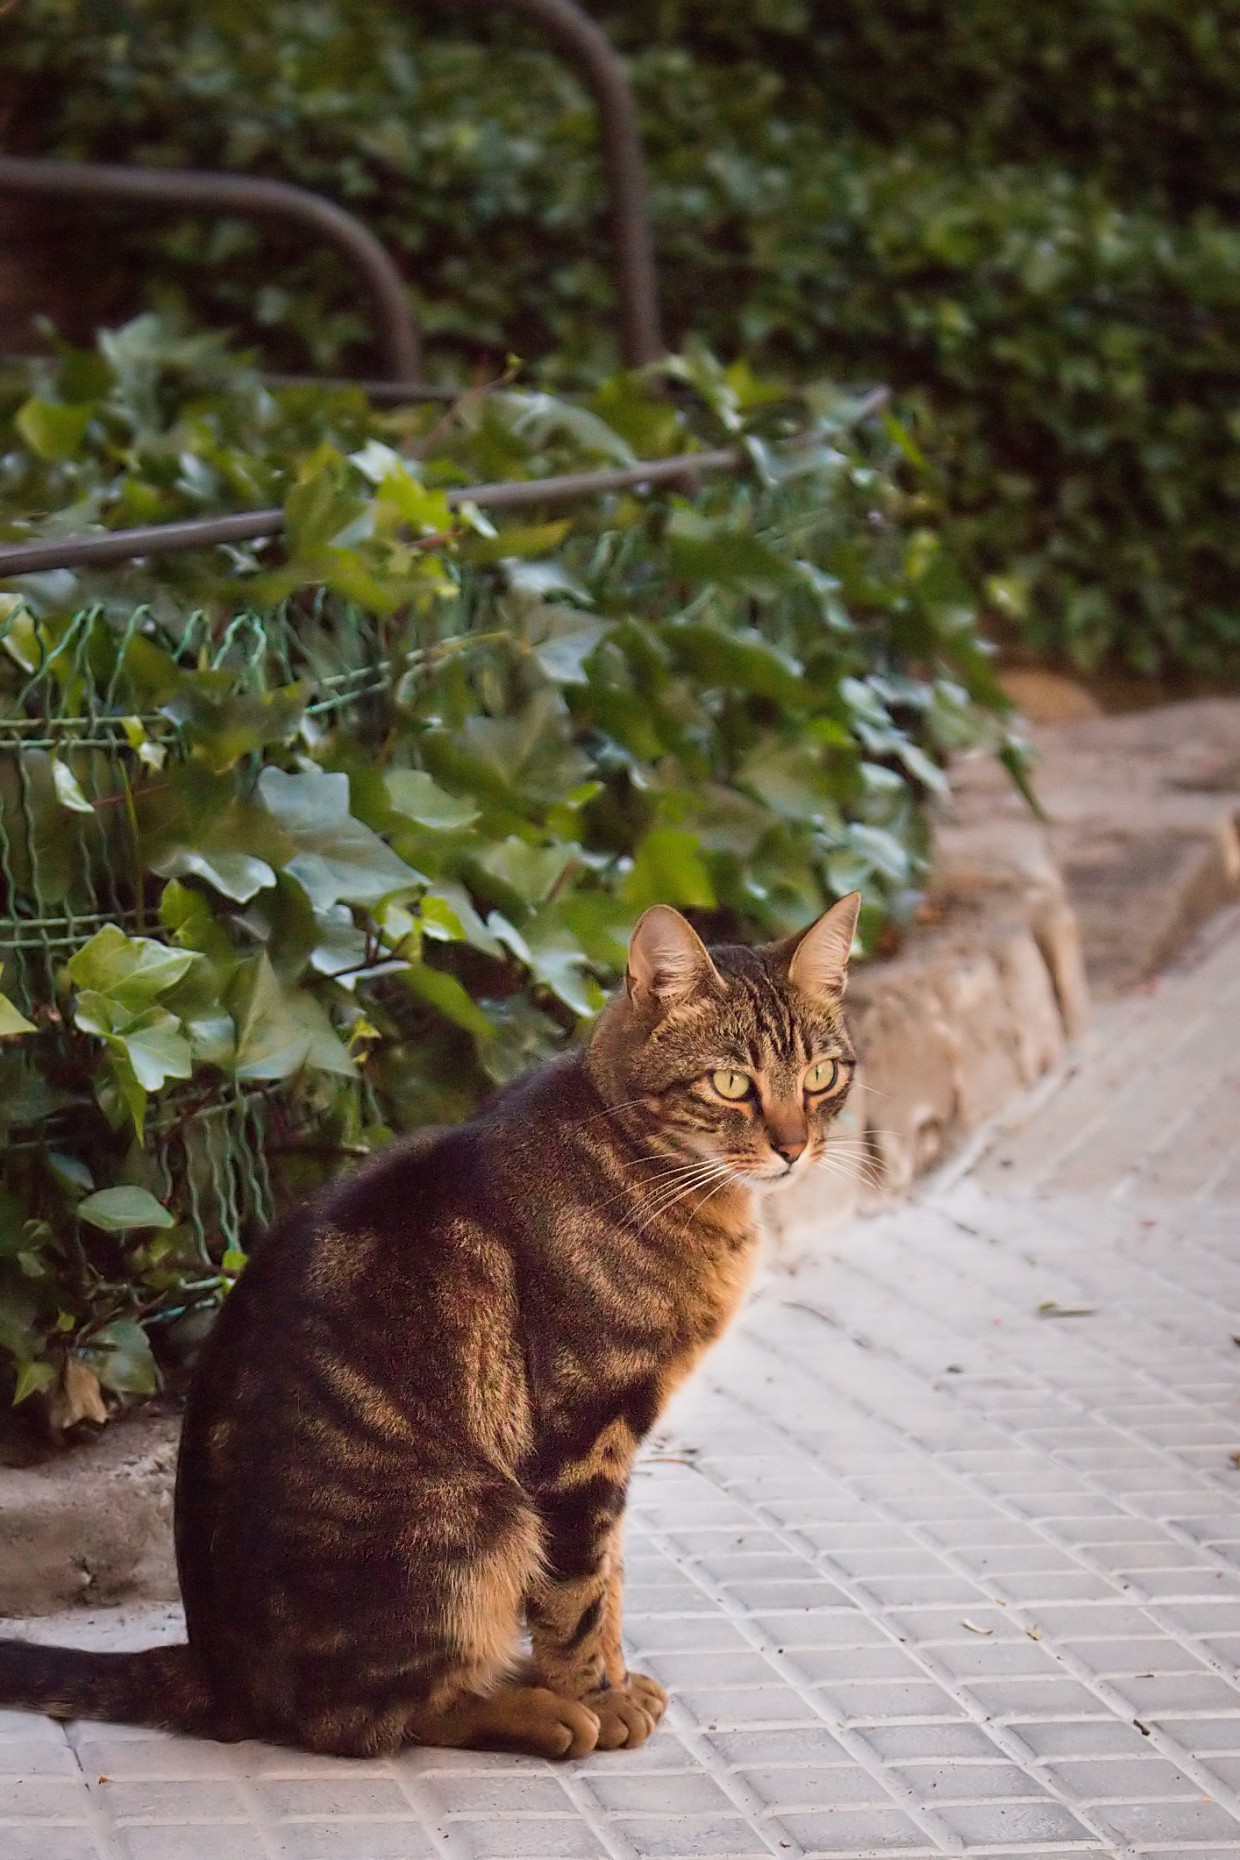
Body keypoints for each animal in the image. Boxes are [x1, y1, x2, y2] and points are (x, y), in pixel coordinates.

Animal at [0, 896, 858, 1755]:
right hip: (472, 1523)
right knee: (374, 1718)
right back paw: (539, 1712)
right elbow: (579, 1592)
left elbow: (608, 1578)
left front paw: (614, 1678)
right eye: (731, 1084)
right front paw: (597, 1695)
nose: (794, 1147)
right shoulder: (580, 1442)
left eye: (821, 1076)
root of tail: (218, 1676)